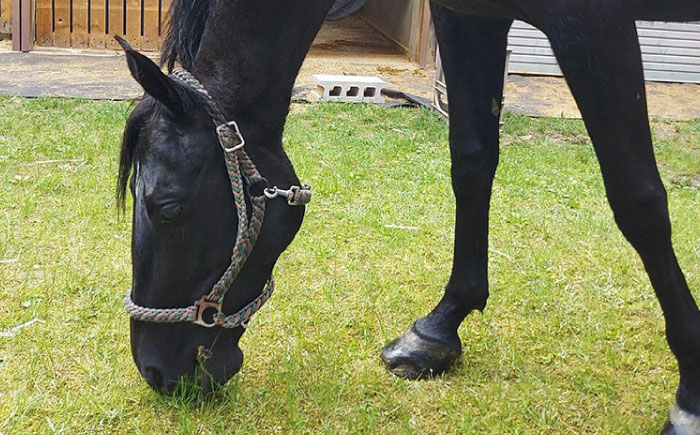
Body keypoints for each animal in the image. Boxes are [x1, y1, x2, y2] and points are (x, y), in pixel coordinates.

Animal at [117, 0, 696, 432]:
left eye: (167, 208)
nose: (154, 370)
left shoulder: (592, 22)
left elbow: (638, 201)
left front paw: (689, 397)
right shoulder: (469, 16)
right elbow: (471, 161)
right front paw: (438, 330)